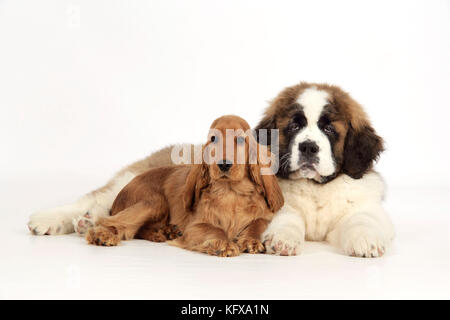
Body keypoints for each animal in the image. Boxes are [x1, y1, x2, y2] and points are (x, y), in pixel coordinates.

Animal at [86, 115, 284, 258]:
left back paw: (164, 232)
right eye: (213, 139)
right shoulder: (195, 226)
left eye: (241, 140)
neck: (230, 192)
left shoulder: (265, 216)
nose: (224, 164)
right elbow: (215, 229)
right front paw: (224, 244)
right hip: (154, 202)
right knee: (110, 221)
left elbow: (257, 224)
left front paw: (250, 241)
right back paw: (102, 235)